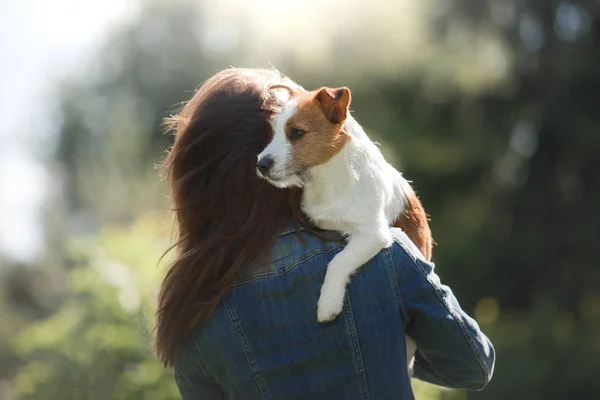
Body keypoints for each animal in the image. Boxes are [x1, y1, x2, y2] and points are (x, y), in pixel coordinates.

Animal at [255, 83, 434, 372]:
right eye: (274, 133)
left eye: (296, 133)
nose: (260, 164)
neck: (327, 180)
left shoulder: (373, 234)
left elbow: (338, 261)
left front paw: (328, 303)